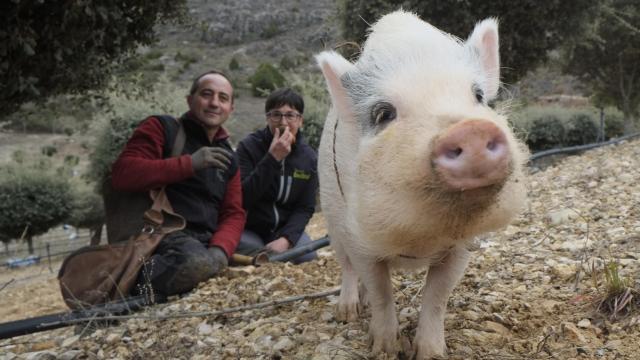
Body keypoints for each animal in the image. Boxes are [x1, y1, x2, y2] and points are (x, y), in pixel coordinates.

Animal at [316, 9, 528, 358]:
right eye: (383, 113)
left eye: (479, 96)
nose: (471, 130)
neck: (422, 239)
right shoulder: (359, 240)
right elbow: (380, 290)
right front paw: (384, 349)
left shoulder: (461, 246)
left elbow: (437, 295)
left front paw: (431, 352)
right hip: (332, 219)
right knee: (346, 267)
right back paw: (348, 313)